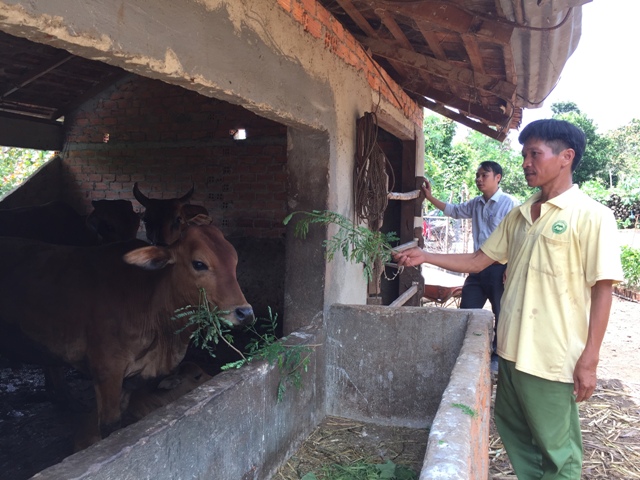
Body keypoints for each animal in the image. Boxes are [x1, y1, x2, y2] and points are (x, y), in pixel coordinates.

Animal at [0, 223, 254, 436]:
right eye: (199, 263)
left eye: (234, 261)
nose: (245, 312)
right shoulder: (107, 373)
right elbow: (110, 426)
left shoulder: (131, 379)